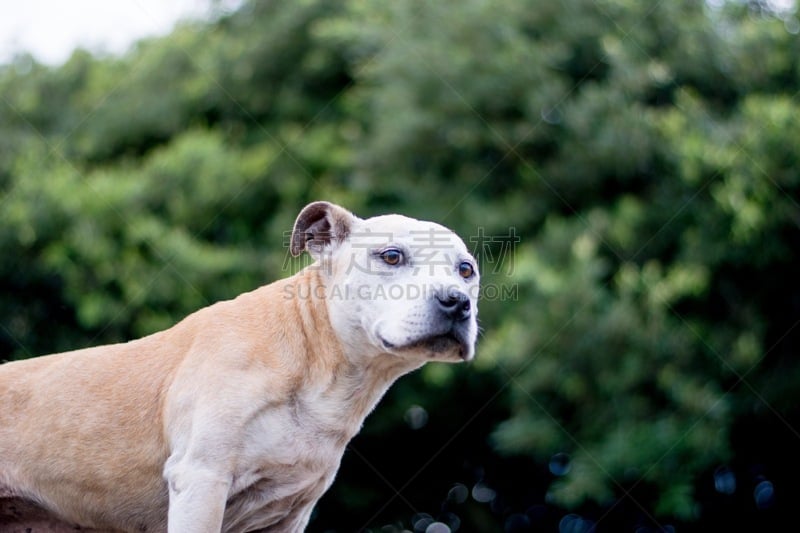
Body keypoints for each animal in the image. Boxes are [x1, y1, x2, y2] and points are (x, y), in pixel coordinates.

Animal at [0, 201, 482, 532]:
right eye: (392, 256)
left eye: (466, 270)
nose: (456, 301)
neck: (316, 355)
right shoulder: (201, 482)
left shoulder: (287, 515)